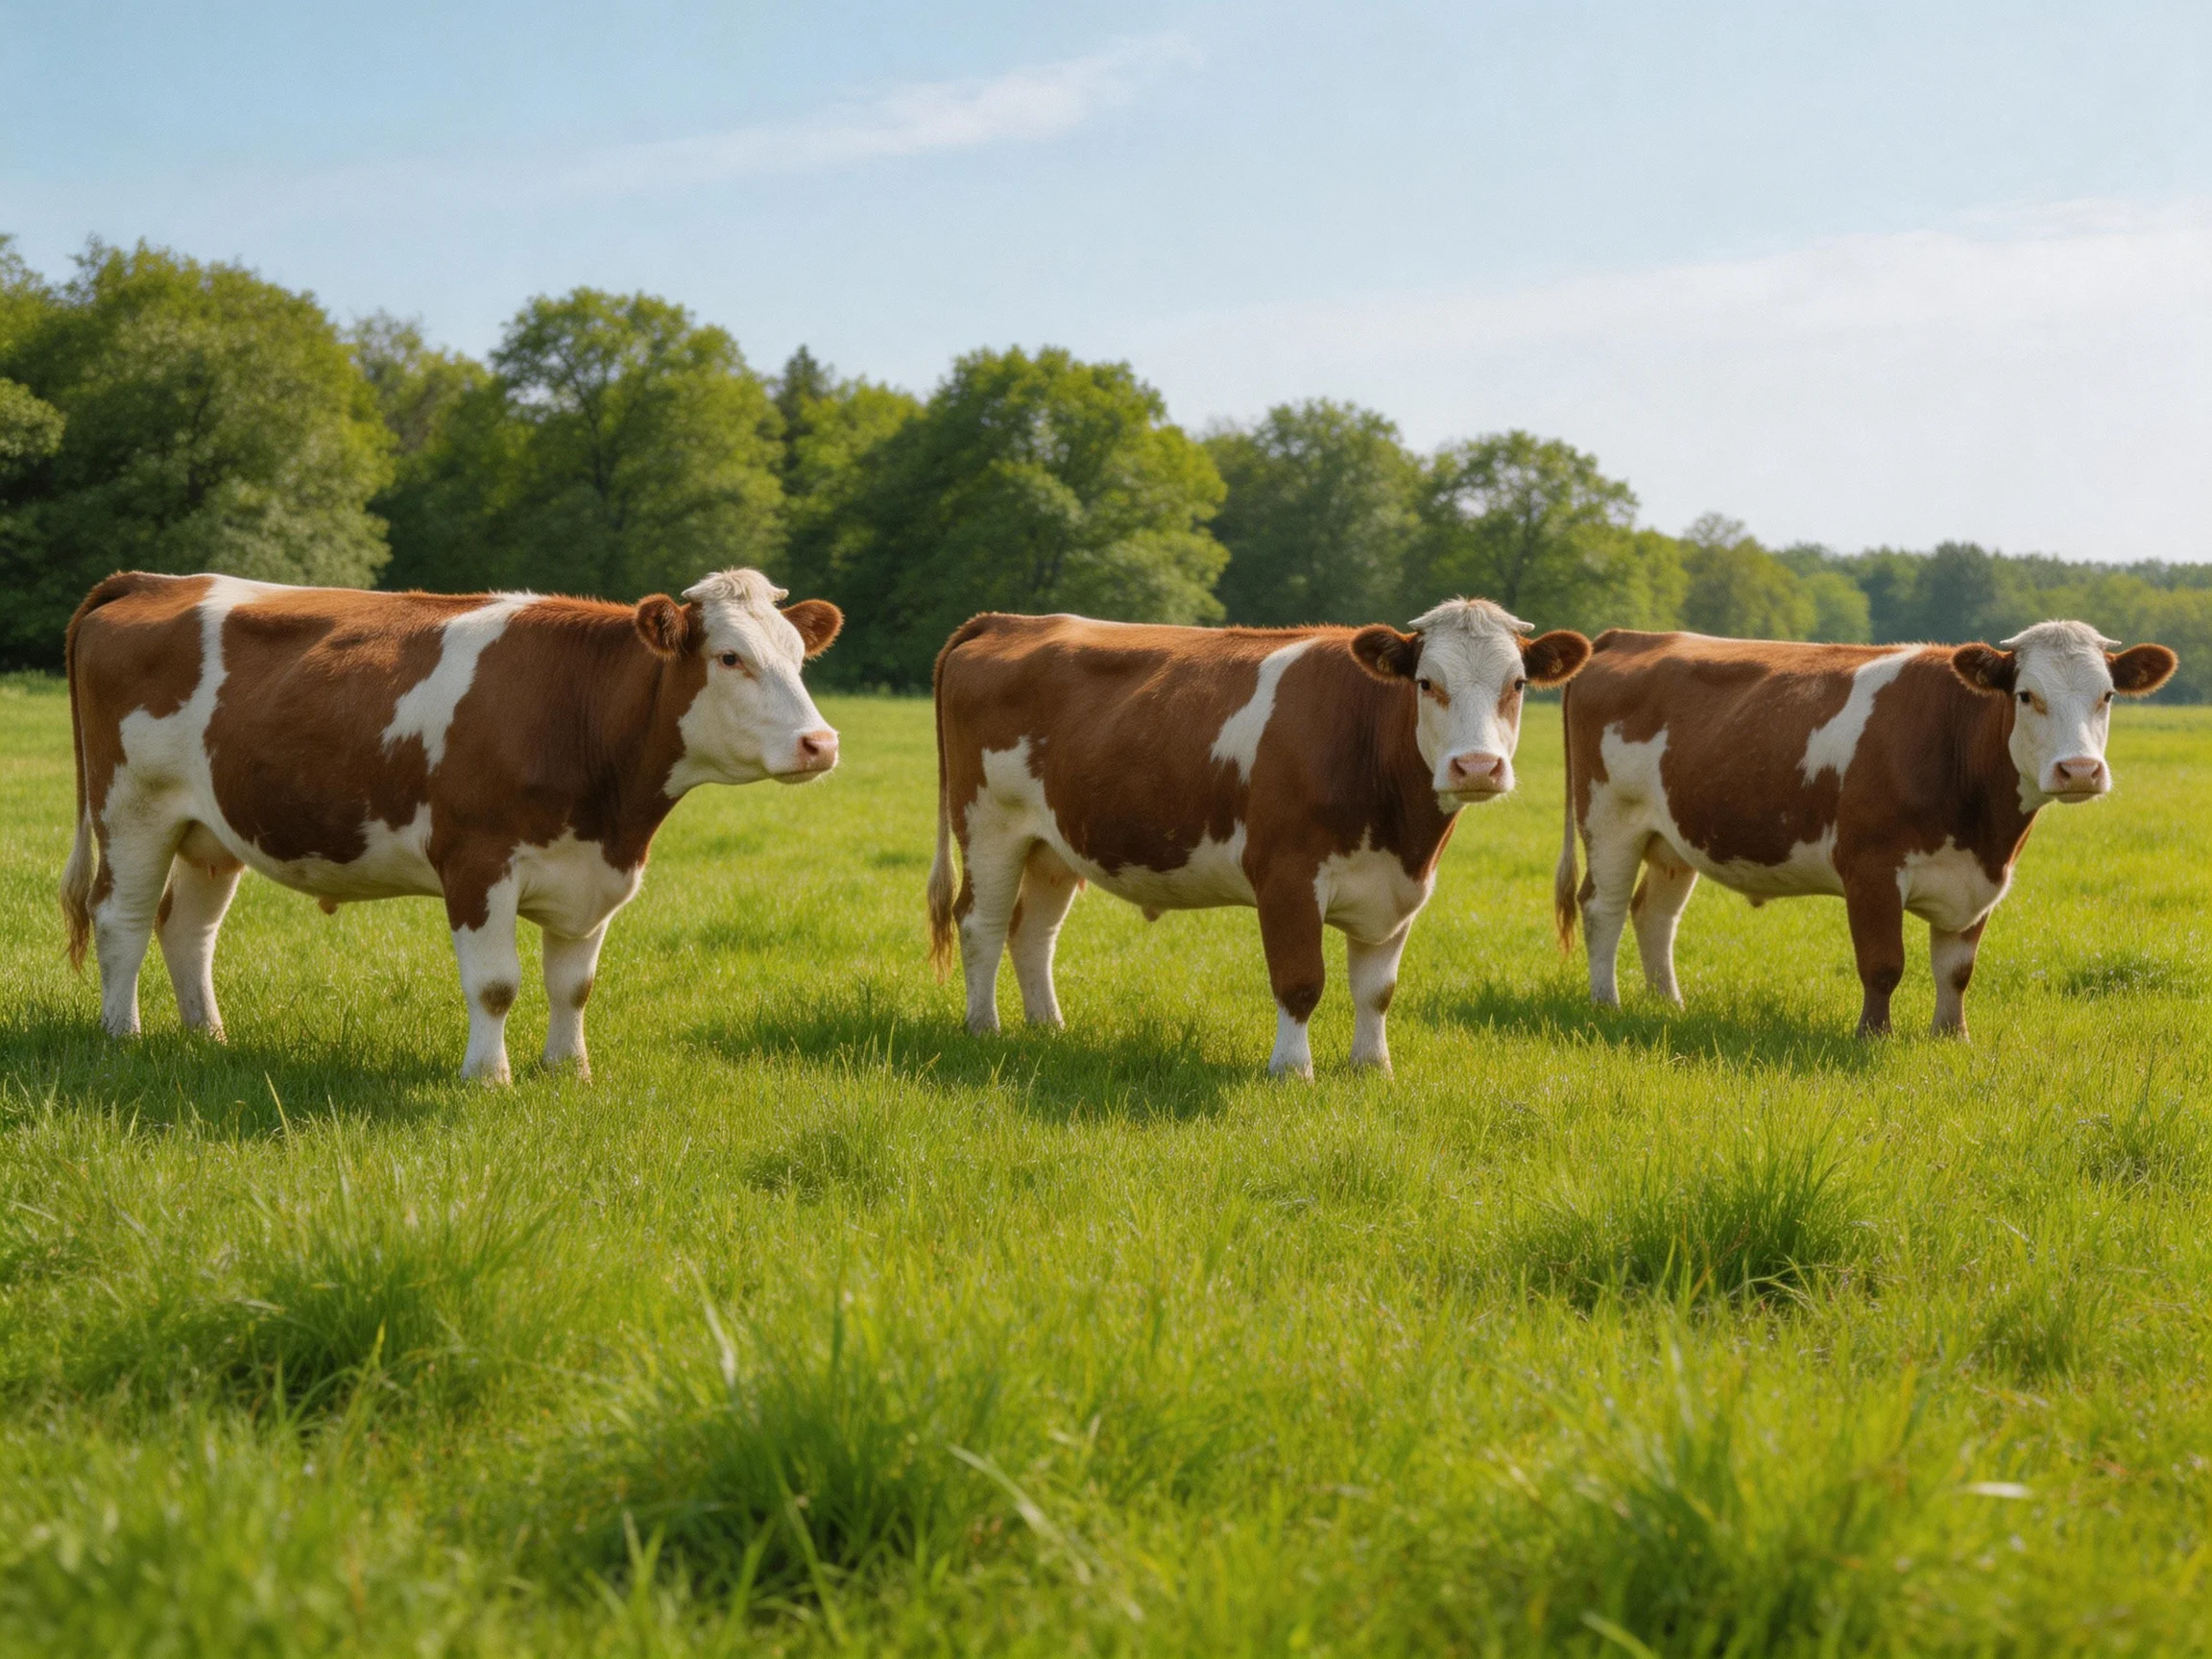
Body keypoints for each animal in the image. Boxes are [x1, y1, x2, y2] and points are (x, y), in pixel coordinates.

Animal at [60, 568, 842, 1082]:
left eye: (799, 657)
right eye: (729, 657)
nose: (821, 743)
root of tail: (153, 580)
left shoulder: (593, 873)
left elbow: (574, 986)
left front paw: (569, 1071)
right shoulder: (477, 861)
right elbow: (496, 984)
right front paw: (488, 1078)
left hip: (211, 830)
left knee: (188, 928)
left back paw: (209, 1037)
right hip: (133, 808)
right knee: (122, 917)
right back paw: (122, 1036)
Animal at [926, 601, 1592, 1076]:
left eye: (1518, 685)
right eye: (1426, 683)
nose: (1476, 766)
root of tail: (1008, 621)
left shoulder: (1401, 889)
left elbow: (1377, 990)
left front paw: (1372, 1067)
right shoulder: (1286, 877)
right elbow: (1300, 980)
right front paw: (1292, 1070)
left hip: (1053, 843)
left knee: (1033, 932)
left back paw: (1048, 1028)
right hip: (988, 824)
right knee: (980, 923)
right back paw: (984, 1029)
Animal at [1553, 622, 2178, 1038]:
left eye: (2108, 696)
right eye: (2027, 696)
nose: (2080, 770)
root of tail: (1629, 635)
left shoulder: (1980, 880)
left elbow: (1956, 971)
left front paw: (1951, 1037)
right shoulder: (1871, 871)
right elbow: (1883, 965)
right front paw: (1872, 1037)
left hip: (1673, 837)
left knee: (1655, 914)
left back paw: (1669, 1005)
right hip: (1609, 818)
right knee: (1603, 906)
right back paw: (1606, 1004)